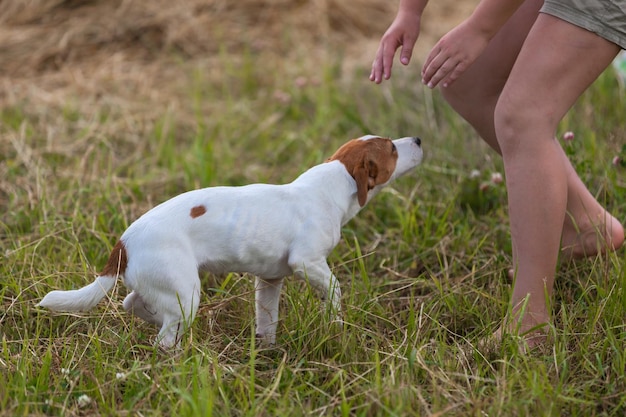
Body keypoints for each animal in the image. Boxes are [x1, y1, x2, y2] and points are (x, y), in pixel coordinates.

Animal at [37, 135, 420, 346]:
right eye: (391, 148)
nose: (417, 140)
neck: (332, 184)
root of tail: (123, 244)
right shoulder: (307, 262)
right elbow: (335, 292)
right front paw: (337, 327)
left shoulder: (269, 279)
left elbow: (267, 320)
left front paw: (268, 350)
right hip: (186, 293)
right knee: (163, 340)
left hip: (167, 290)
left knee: (134, 303)